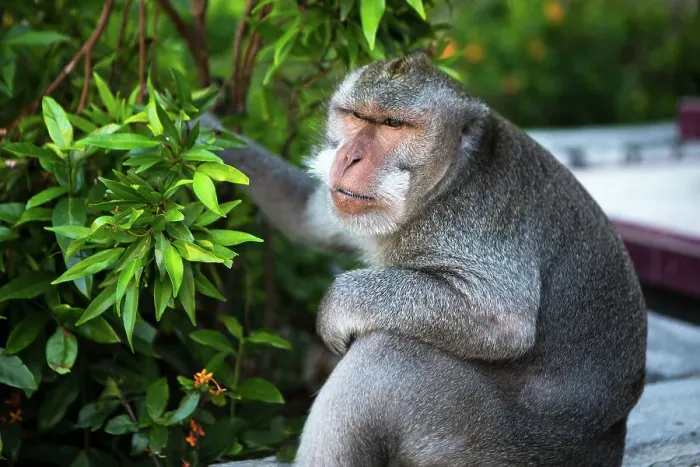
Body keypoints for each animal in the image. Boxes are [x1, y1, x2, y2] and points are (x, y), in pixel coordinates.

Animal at [202, 52, 647, 466]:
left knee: (385, 357)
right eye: (355, 116)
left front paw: (336, 306)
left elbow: (501, 320)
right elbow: (309, 216)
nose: (348, 157)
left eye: (392, 125)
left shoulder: (473, 224)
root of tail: (611, 441)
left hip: (485, 441)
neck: (446, 184)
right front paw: (207, 132)